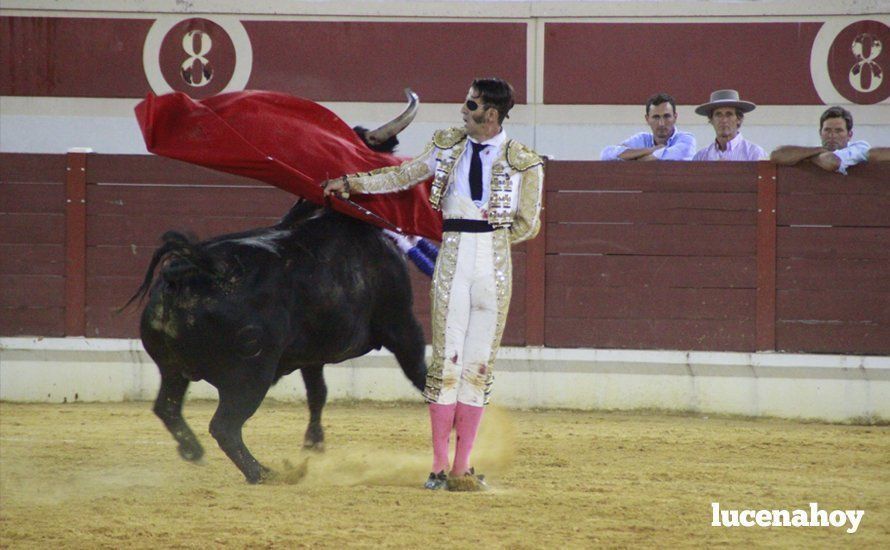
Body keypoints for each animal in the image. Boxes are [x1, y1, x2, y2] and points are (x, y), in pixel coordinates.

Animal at [127, 201, 426, 486]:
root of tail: (188, 272)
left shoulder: (312, 354)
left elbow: (317, 392)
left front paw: (314, 444)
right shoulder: (402, 325)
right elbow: (420, 373)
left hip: (172, 368)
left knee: (167, 407)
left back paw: (193, 450)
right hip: (251, 375)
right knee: (224, 426)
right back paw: (262, 473)